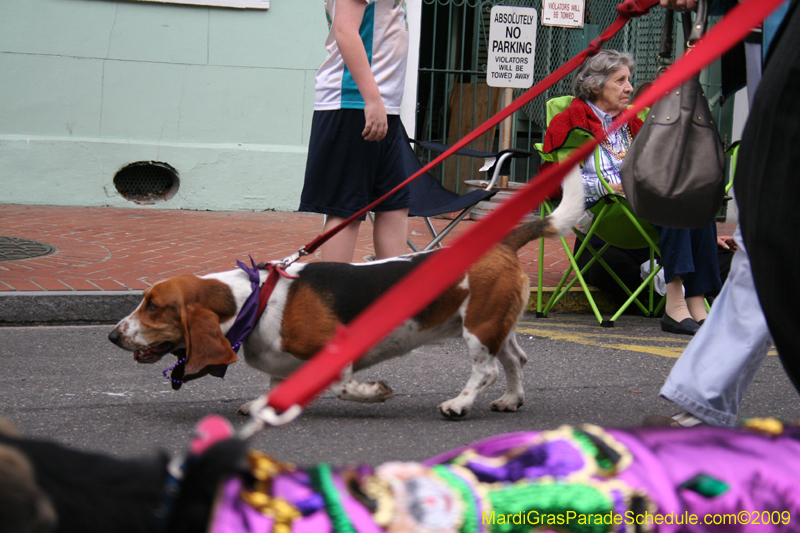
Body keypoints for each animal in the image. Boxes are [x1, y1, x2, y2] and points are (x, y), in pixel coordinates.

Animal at [108, 165, 580, 416]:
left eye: (154, 306)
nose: (113, 335)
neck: (254, 301)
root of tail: (502, 241)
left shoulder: (335, 354)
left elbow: (341, 387)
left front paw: (374, 393)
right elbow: (274, 389)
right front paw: (260, 407)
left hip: (479, 327)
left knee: (486, 370)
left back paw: (458, 405)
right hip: (496, 322)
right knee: (516, 360)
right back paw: (511, 400)